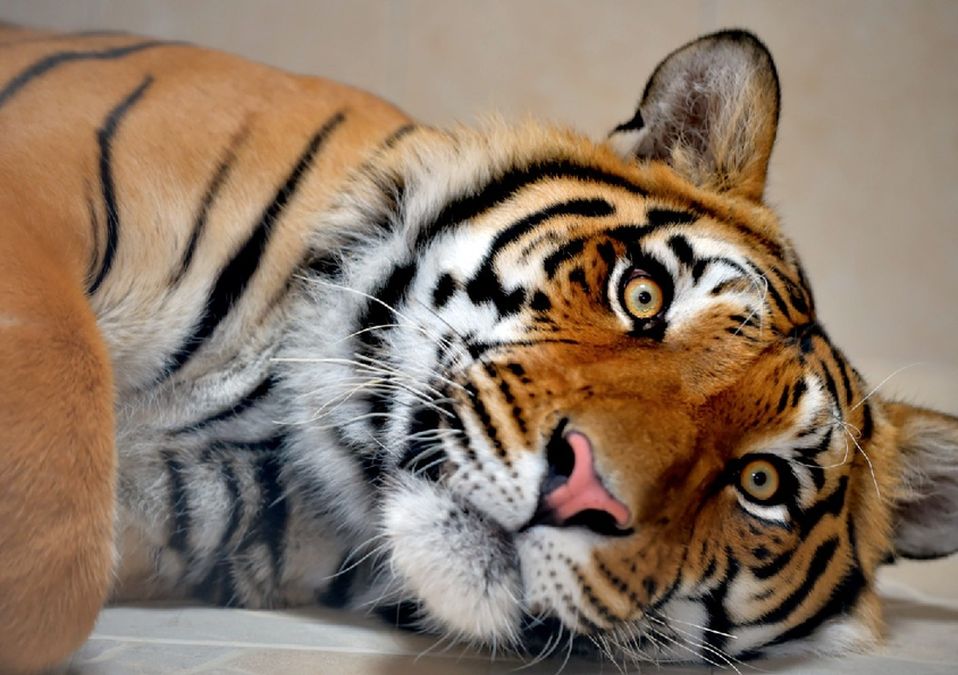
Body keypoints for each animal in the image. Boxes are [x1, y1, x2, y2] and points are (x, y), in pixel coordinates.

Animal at [0, 22, 956, 673]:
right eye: (643, 295)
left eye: (763, 482)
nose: (581, 490)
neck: (274, 435)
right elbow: (61, 464)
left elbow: (61, 560)